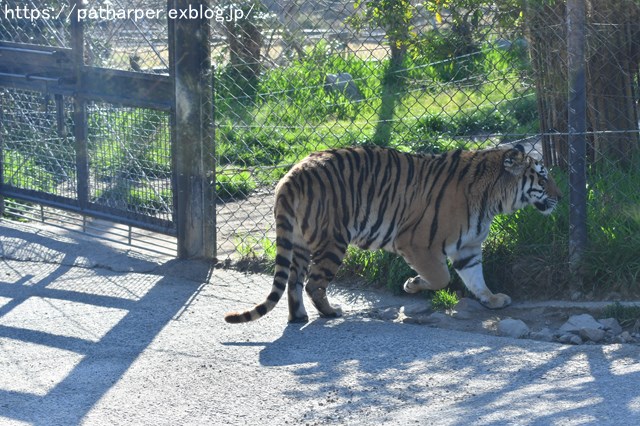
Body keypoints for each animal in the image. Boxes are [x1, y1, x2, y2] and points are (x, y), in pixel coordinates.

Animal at [224, 143, 560, 322]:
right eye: (543, 178)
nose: (560, 196)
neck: (494, 201)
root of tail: (290, 175)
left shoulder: (468, 248)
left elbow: (476, 278)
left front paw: (492, 300)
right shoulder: (416, 242)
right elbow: (442, 277)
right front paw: (412, 285)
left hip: (301, 243)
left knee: (294, 281)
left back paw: (299, 317)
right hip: (333, 240)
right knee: (312, 283)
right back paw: (331, 312)